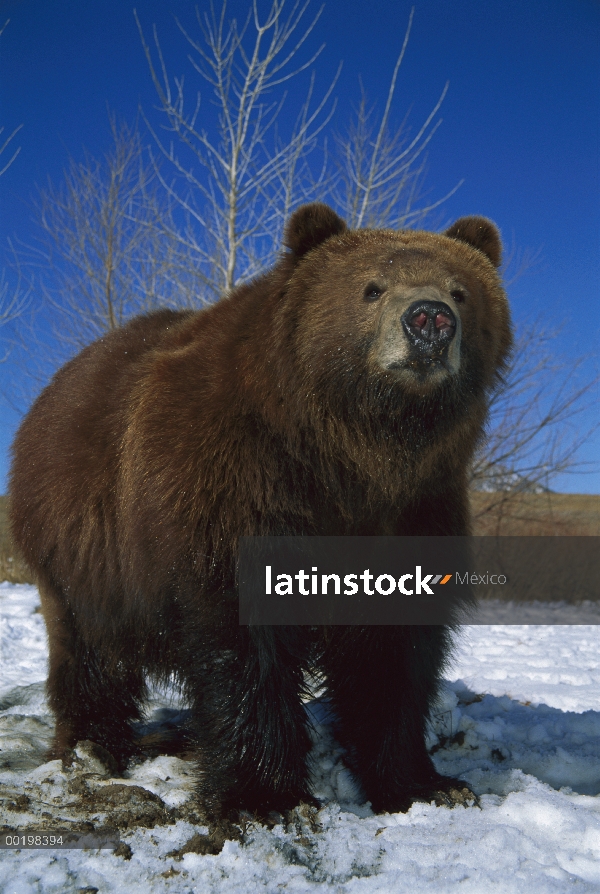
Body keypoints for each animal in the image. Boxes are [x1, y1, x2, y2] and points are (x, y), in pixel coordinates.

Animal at [9, 206, 510, 824]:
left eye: (461, 292)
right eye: (371, 287)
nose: (429, 320)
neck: (352, 451)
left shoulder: (411, 509)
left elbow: (393, 652)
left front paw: (424, 782)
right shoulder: (231, 482)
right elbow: (245, 641)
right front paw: (265, 795)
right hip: (83, 544)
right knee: (88, 646)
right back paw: (94, 744)